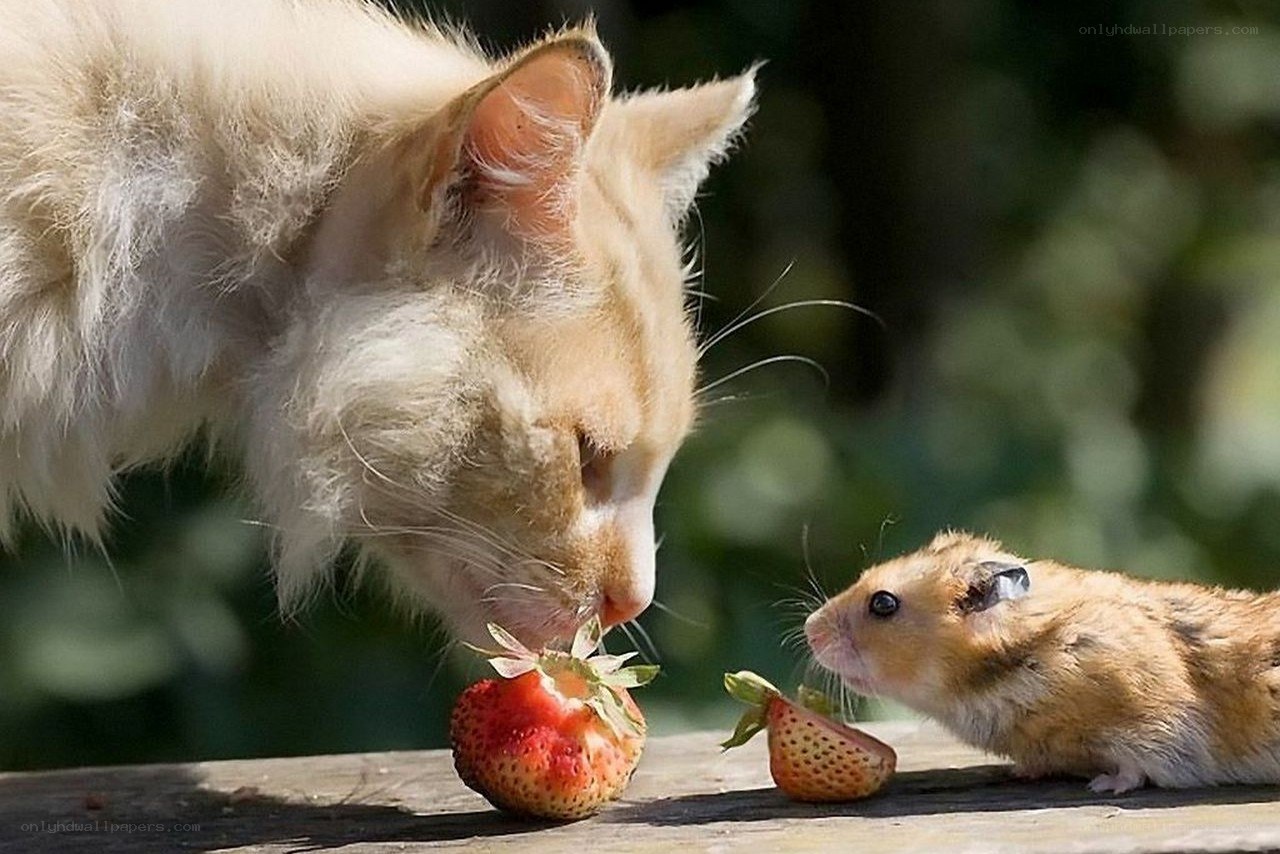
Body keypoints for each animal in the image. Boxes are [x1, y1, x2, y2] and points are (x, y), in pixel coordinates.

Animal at [804, 531, 1280, 793]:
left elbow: (1137, 764)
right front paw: (1020, 773)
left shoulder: (1151, 720)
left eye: (883, 604)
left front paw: (1104, 786)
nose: (809, 629)